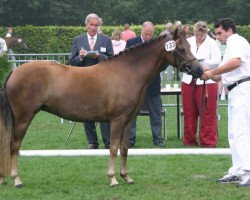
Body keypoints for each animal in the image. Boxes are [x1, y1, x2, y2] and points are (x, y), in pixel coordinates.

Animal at [0, 30, 203, 188]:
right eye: (182, 49)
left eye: (189, 46)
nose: (199, 70)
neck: (128, 72)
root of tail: (14, 71)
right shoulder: (117, 120)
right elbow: (113, 148)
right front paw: (113, 179)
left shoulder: (128, 120)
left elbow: (124, 148)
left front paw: (126, 177)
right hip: (24, 118)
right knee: (14, 145)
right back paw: (16, 180)